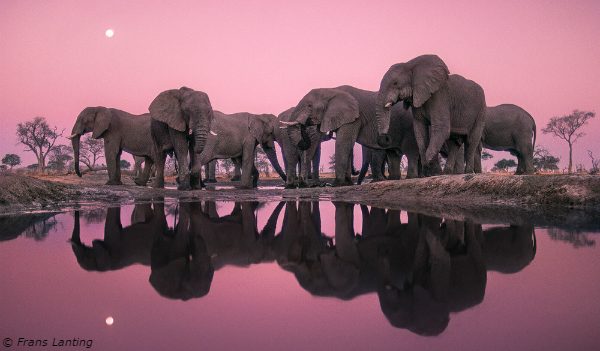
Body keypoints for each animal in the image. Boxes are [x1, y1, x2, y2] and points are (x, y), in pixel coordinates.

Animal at [288, 85, 420, 187]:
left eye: (309, 106)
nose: (305, 184)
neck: (331, 90)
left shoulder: (354, 117)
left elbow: (343, 143)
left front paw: (336, 184)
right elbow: (346, 145)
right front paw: (347, 183)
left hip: (409, 128)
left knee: (410, 151)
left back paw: (411, 177)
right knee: (394, 154)